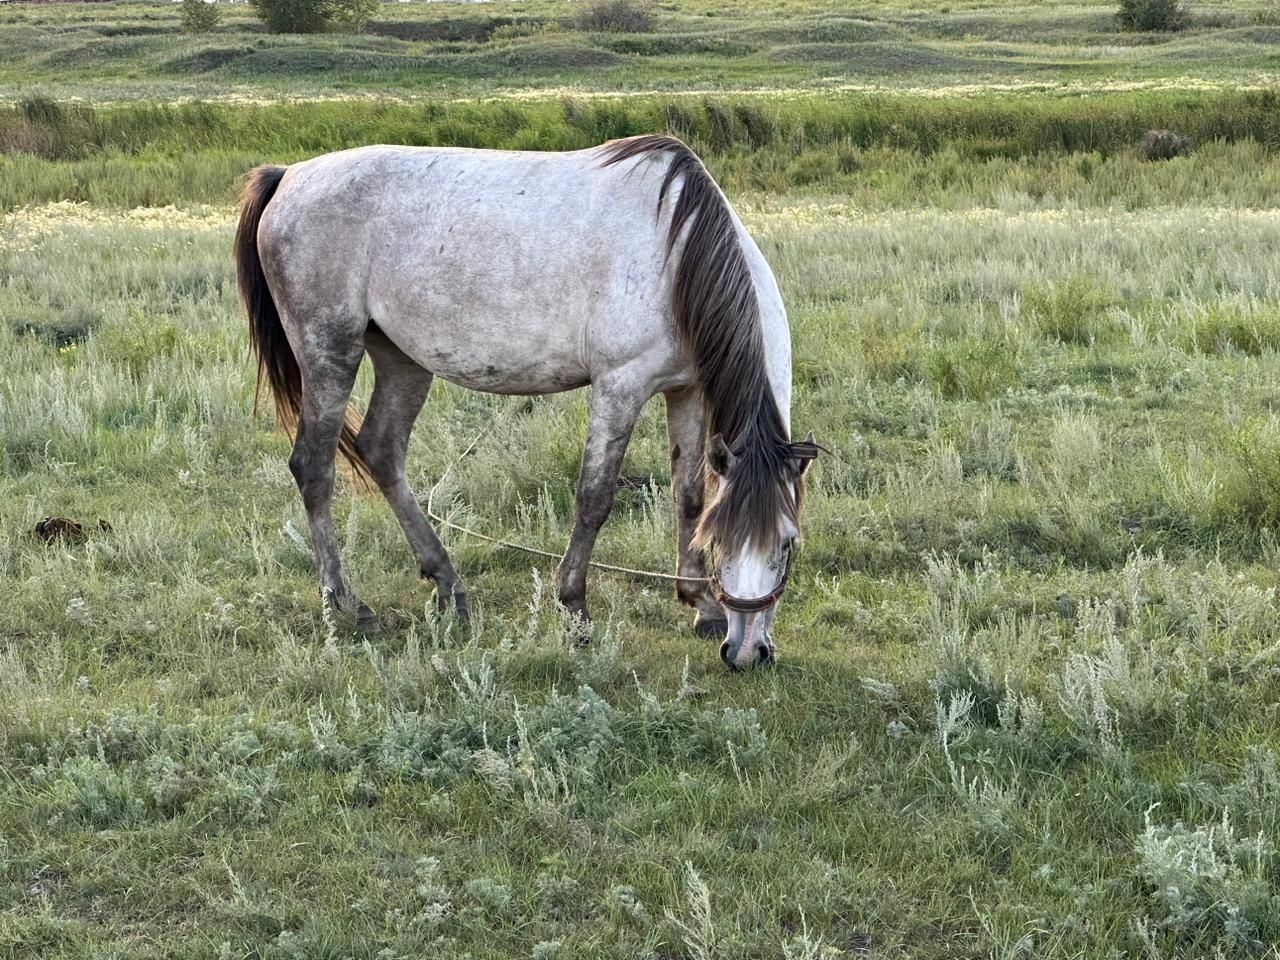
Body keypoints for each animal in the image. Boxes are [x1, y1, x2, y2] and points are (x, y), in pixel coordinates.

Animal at [238, 135, 819, 670]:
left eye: (788, 544)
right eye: (725, 543)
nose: (746, 653)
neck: (674, 255)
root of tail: (289, 177)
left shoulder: (687, 389)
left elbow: (690, 495)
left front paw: (702, 605)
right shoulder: (620, 386)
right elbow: (594, 498)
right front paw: (575, 611)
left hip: (402, 361)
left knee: (382, 451)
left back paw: (449, 585)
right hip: (330, 352)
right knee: (314, 468)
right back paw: (346, 605)